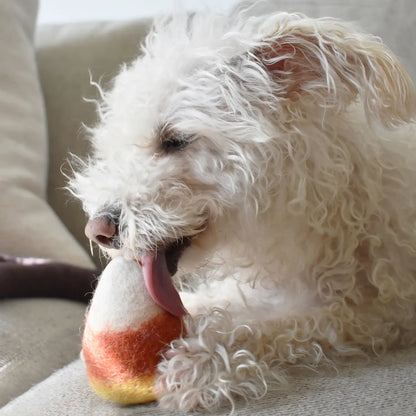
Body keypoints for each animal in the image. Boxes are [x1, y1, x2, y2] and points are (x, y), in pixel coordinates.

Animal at [70, 2, 414, 412]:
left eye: (175, 140)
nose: (98, 230)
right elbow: (220, 298)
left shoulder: (383, 312)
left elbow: (288, 325)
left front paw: (201, 361)